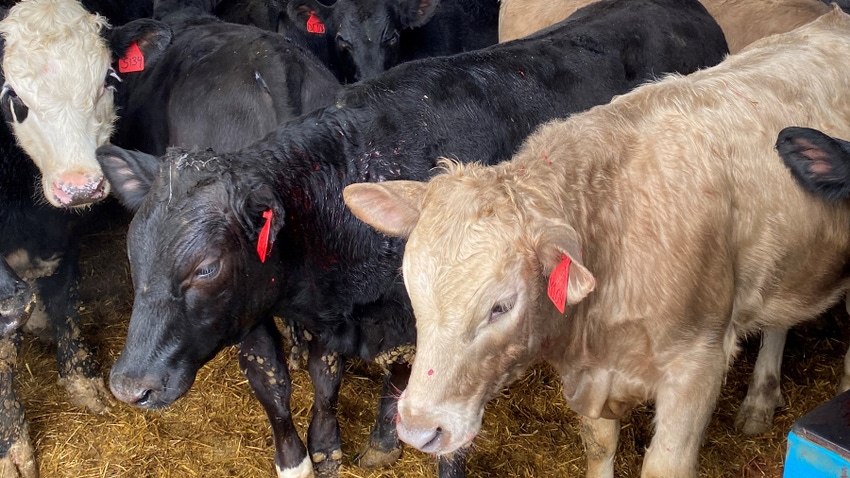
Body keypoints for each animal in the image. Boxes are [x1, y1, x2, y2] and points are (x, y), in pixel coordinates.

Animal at [346, 7, 850, 478]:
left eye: (500, 306)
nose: (418, 429)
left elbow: (664, 464)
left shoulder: (697, 366)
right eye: (414, 293)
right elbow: (599, 445)